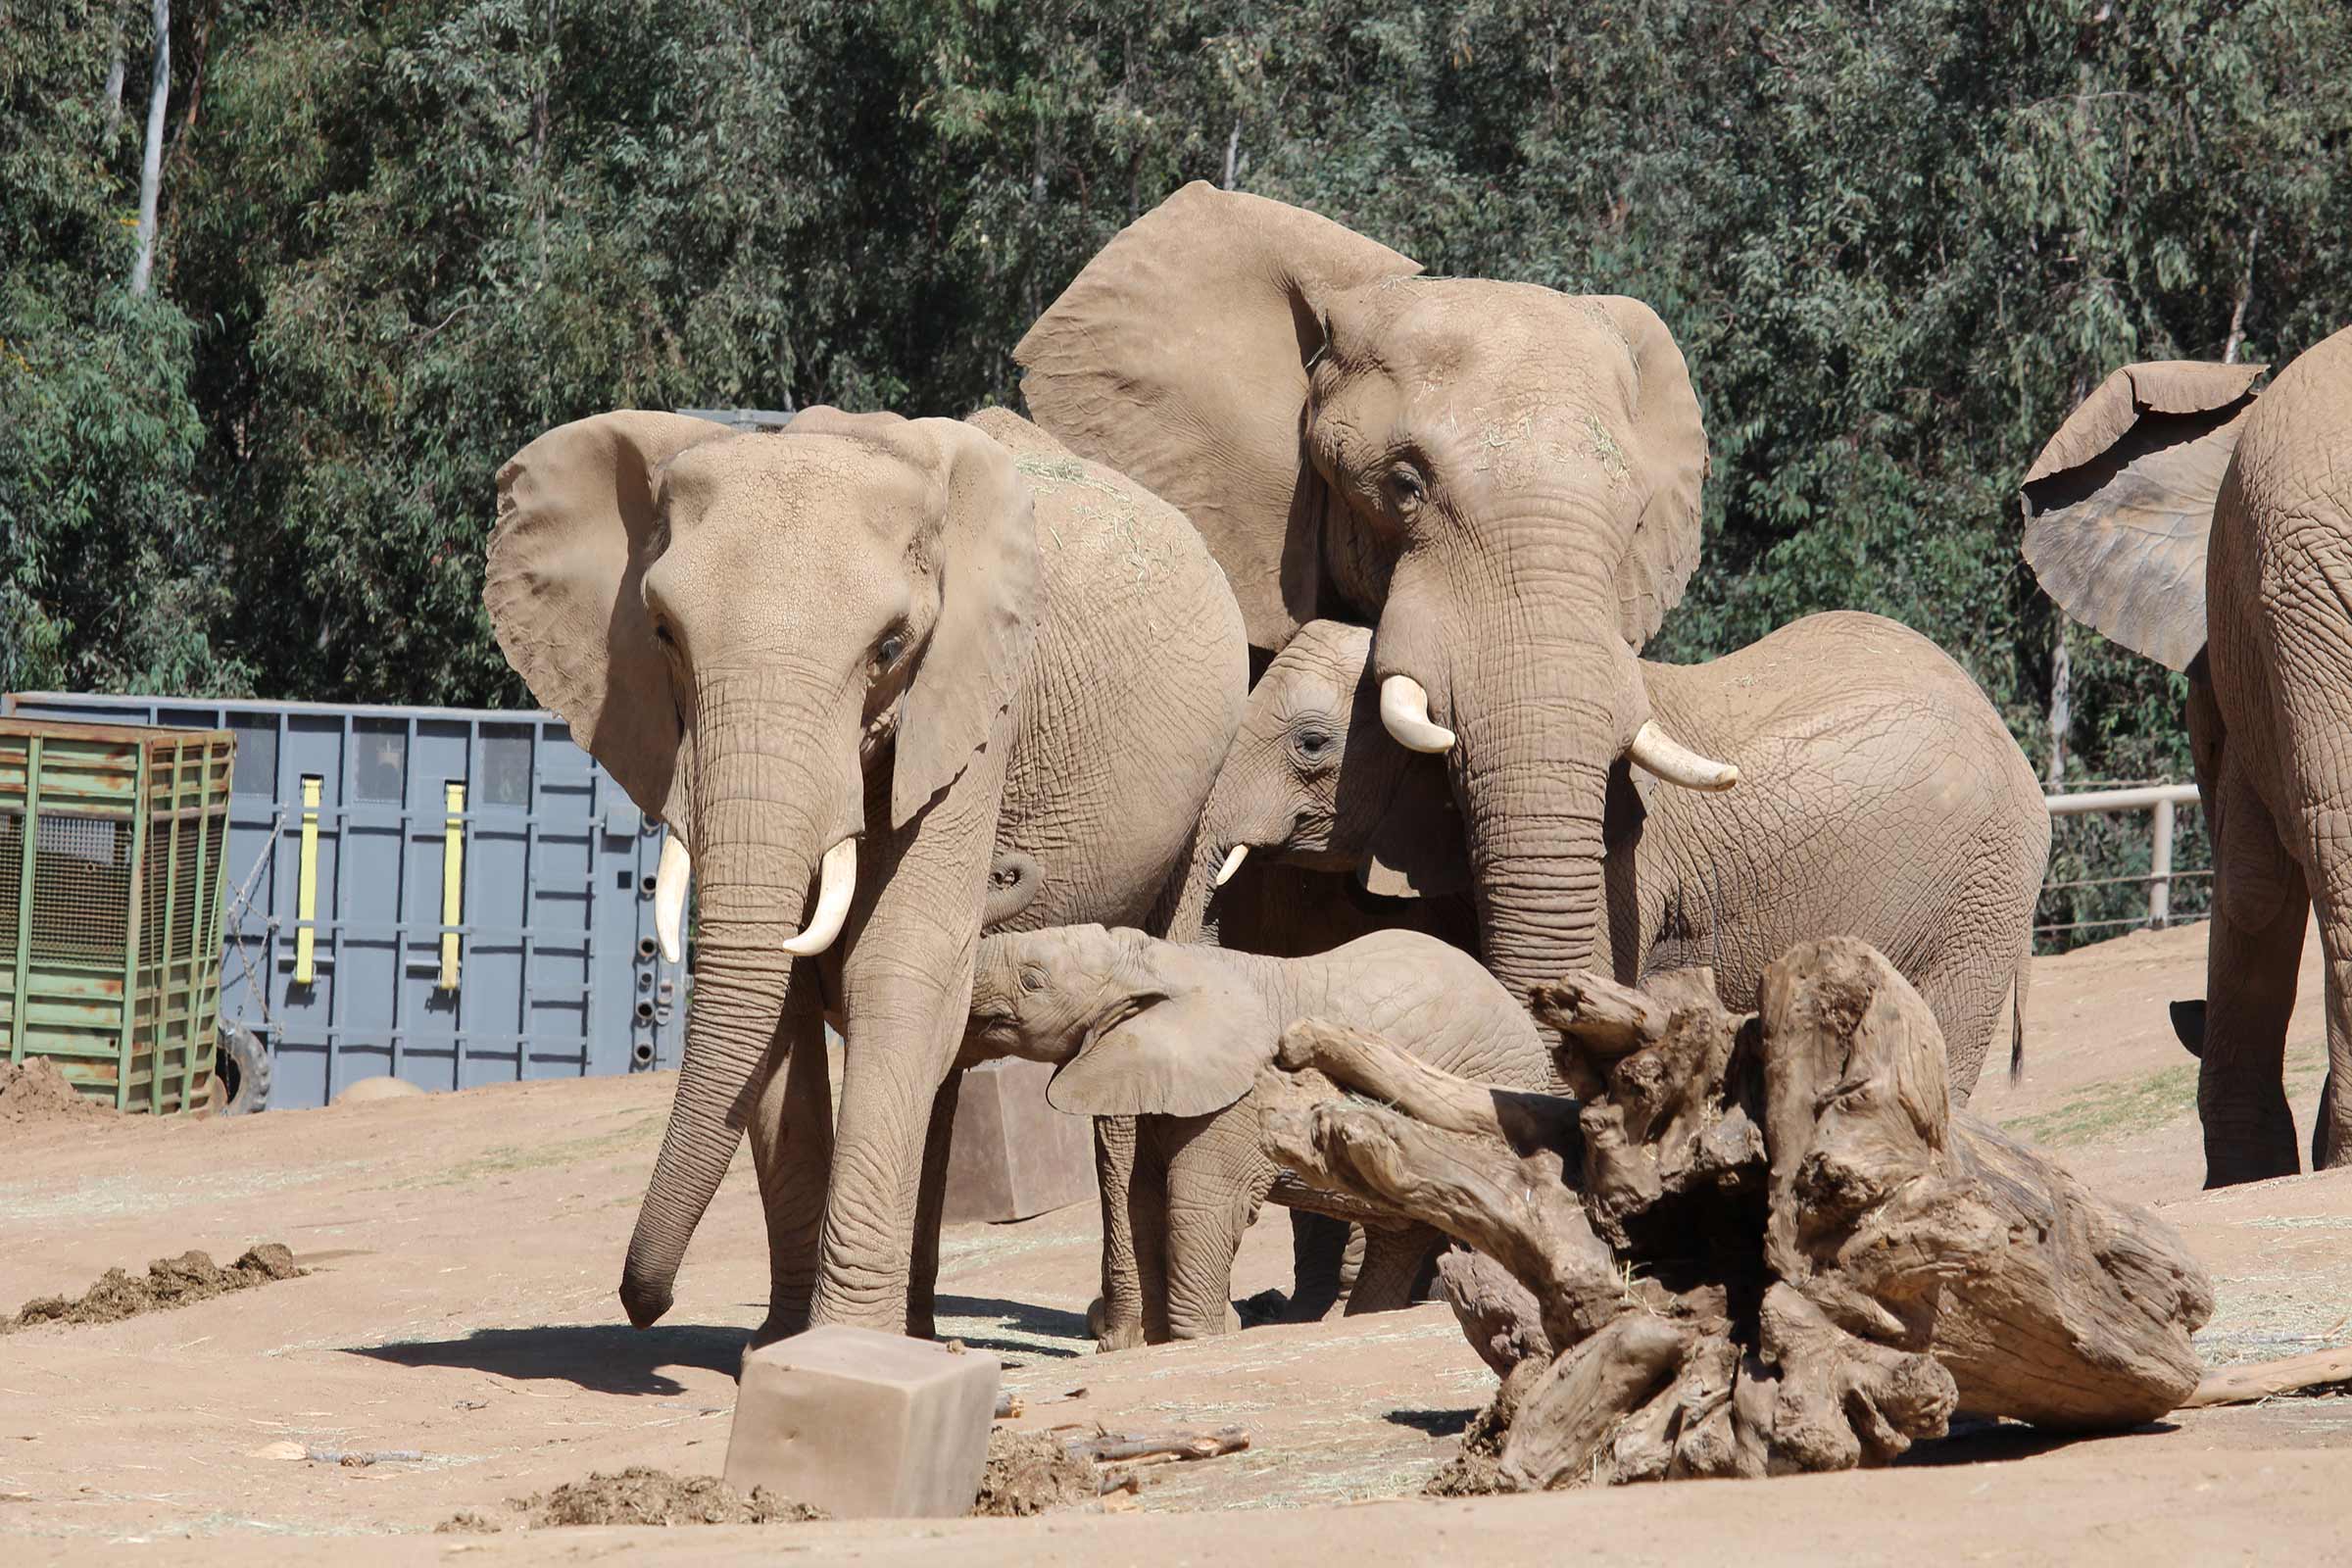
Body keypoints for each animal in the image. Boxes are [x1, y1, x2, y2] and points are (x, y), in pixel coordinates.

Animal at [482, 402, 1250, 1335]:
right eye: (662, 636)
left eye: (888, 648)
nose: (644, 1303)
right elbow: (780, 1010)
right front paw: (789, 1342)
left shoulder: (978, 700)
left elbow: (898, 962)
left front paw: (840, 1338)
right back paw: (921, 1334)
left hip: (1208, 787)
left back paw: (1129, 1340)